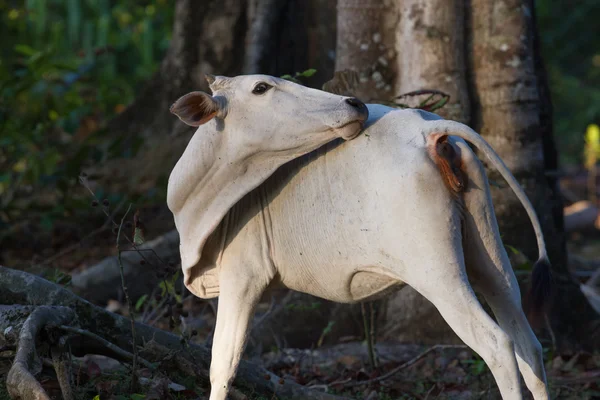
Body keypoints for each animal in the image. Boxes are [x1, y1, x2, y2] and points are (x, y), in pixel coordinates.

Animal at [166, 75, 552, 400]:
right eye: (260, 88)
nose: (354, 104)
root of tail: (429, 128)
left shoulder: (243, 276)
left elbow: (222, 367)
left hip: (436, 271)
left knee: (497, 344)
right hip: (488, 254)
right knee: (529, 345)